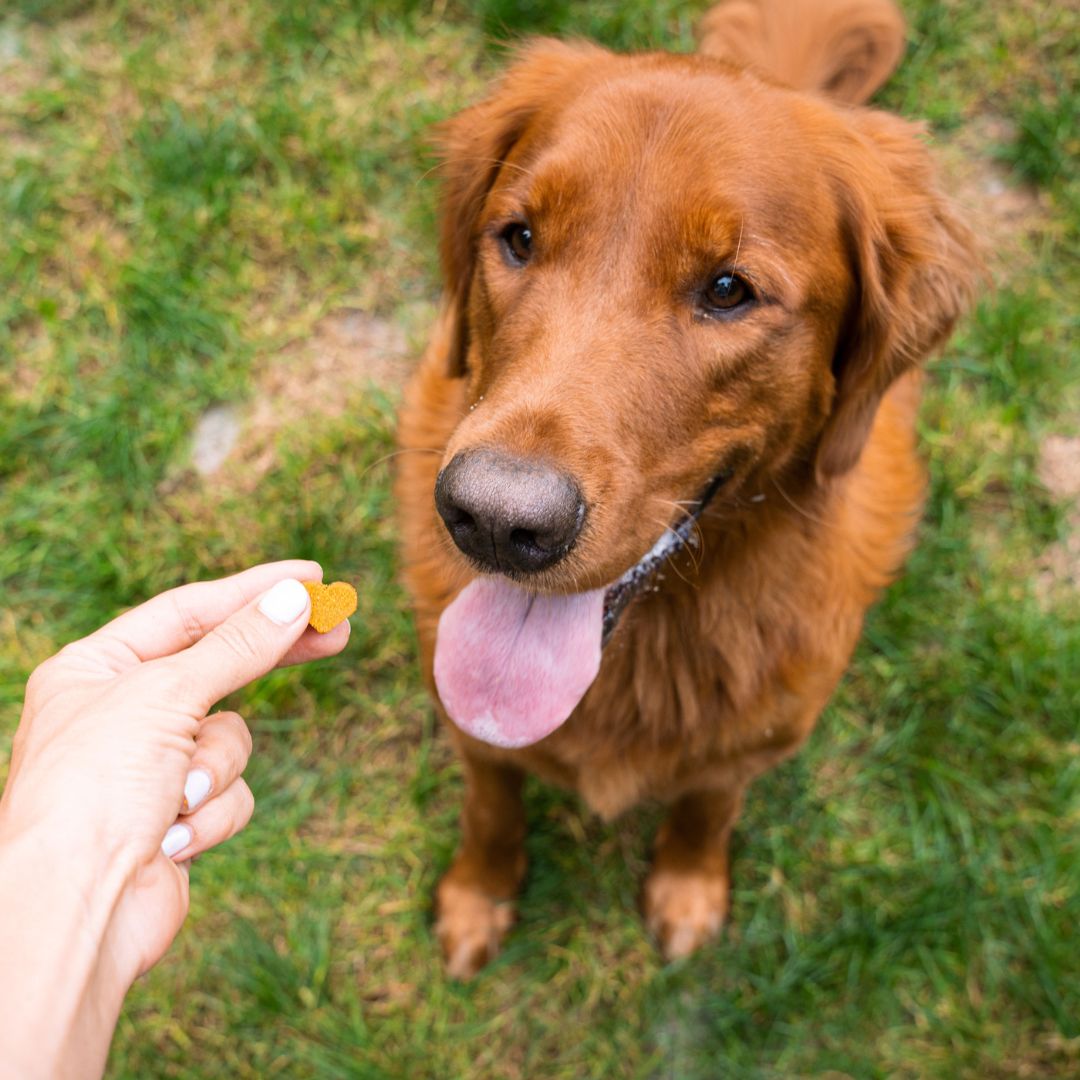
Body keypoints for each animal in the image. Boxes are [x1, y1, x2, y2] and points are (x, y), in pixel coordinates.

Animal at [397, 0, 980, 980]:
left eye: (728, 289)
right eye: (519, 238)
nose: (494, 519)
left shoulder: (760, 734)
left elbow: (708, 803)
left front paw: (688, 887)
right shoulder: (465, 712)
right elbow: (491, 799)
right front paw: (479, 893)